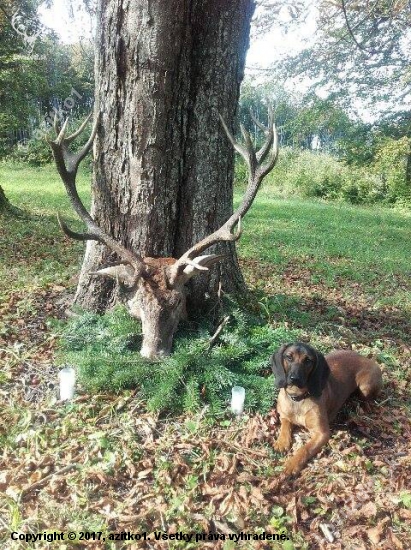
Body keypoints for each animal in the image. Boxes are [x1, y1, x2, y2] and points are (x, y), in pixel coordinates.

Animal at [272, 344, 384, 478]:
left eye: (308, 360)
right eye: (289, 357)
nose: (295, 378)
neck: (298, 398)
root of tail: (368, 359)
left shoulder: (322, 433)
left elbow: (305, 449)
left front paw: (292, 464)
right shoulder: (284, 416)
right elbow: (285, 426)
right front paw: (282, 442)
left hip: (365, 387)